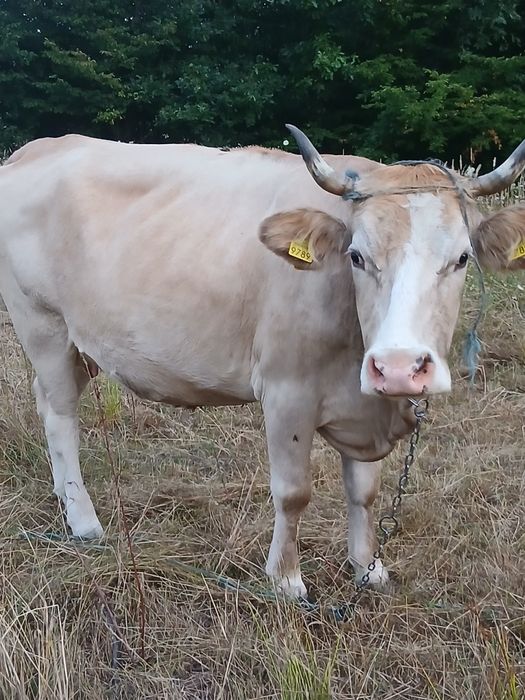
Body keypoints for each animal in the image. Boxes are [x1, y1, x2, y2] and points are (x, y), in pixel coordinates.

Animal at [0, 126, 523, 598]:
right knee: (60, 416)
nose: (398, 366)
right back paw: (83, 520)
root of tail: (38, 147)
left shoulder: (364, 400)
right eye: (356, 256)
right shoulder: (286, 390)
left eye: (462, 258)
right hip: (43, 325)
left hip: (81, 343)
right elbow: (293, 492)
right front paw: (286, 579)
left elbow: (364, 491)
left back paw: (63, 498)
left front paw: (367, 568)